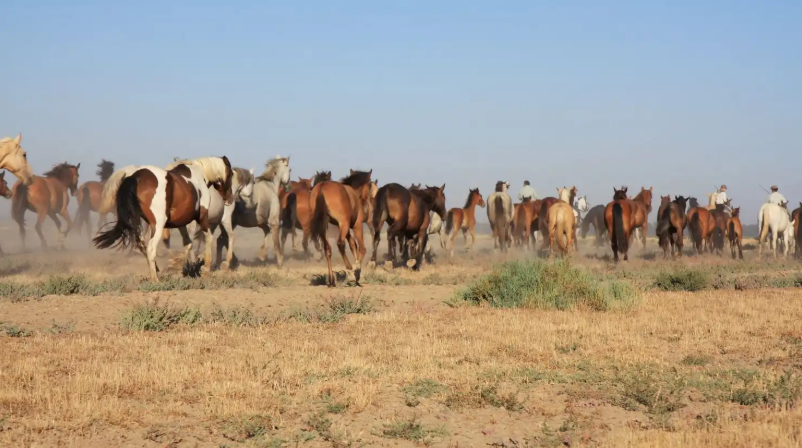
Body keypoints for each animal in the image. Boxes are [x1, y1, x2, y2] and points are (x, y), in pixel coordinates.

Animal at [94, 156, 233, 281]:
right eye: (231, 174)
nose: (229, 199)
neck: (198, 174)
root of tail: (135, 177)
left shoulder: (181, 223)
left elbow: (188, 244)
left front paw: (187, 267)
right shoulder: (202, 217)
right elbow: (208, 238)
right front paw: (205, 268)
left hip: (138, 223)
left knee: (141, 244)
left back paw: (156, 269)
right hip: (158, 225)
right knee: (150, 247)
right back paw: (155, 279)